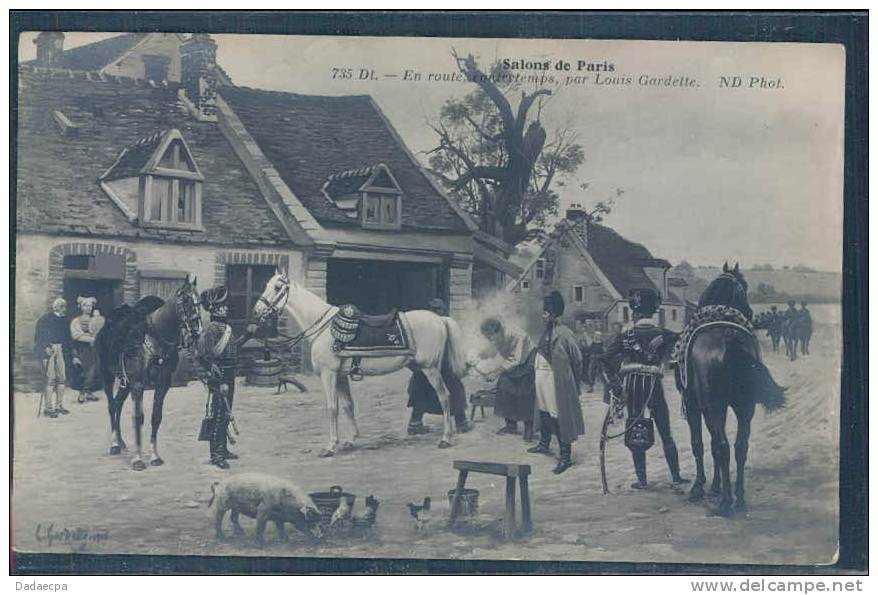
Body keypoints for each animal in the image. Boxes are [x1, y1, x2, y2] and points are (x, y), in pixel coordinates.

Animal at [96, 278, 203, 472]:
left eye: (199, 301)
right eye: (185, 300)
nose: (197, 330)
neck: (157, 338)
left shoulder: (162, 384)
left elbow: (156, 417)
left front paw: (155, 456)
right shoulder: (138, 384)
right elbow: (138, 418)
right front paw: (137, 460)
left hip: (125, 383)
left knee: (118, 404)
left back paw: (121, 442)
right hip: (107, 376)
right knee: (111, 405)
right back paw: (114, 444)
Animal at [251, 266, 470, 456]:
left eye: (277, 287)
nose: (257, 310)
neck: (325, 328)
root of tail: (440, 319)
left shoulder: (329, 374)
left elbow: (332, 408)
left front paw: (331, 446)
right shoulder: (340, 376)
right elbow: (348, 405)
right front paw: (350, 440)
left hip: (430, 368)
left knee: (444, 396)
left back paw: (446, 438)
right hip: (425, 367)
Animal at [676, 264, 788, 516]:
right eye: (745, 287)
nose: (750, 312)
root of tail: (729, 340)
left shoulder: (694, 405)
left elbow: (699, 444)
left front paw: (700, 487)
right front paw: (715, 486)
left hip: (713, 405)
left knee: (723, 446)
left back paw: (726, 502)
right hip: (744, 407)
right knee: (739, 447)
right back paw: (739, 499)